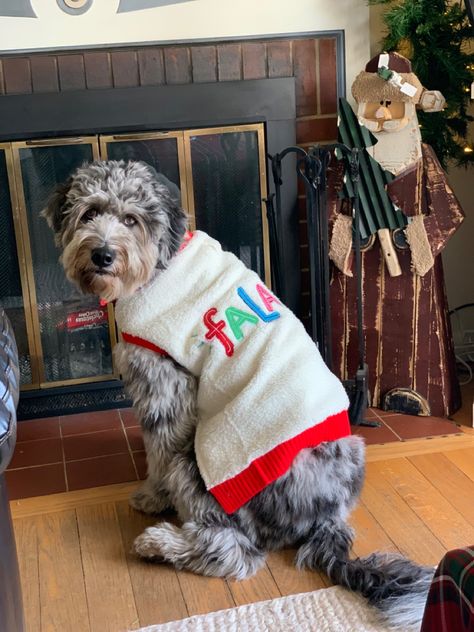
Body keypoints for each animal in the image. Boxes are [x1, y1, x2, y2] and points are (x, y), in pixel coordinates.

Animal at [44, 160, 434, 628]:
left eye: (132, 220)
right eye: (89, 213)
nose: (102, 254)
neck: (161, 264)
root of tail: (325, 517)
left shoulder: (164, 384)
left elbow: (158, 450)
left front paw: (152, 496)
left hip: (205, 464)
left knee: (236, 552)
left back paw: (159, 544)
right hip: (354, 449)